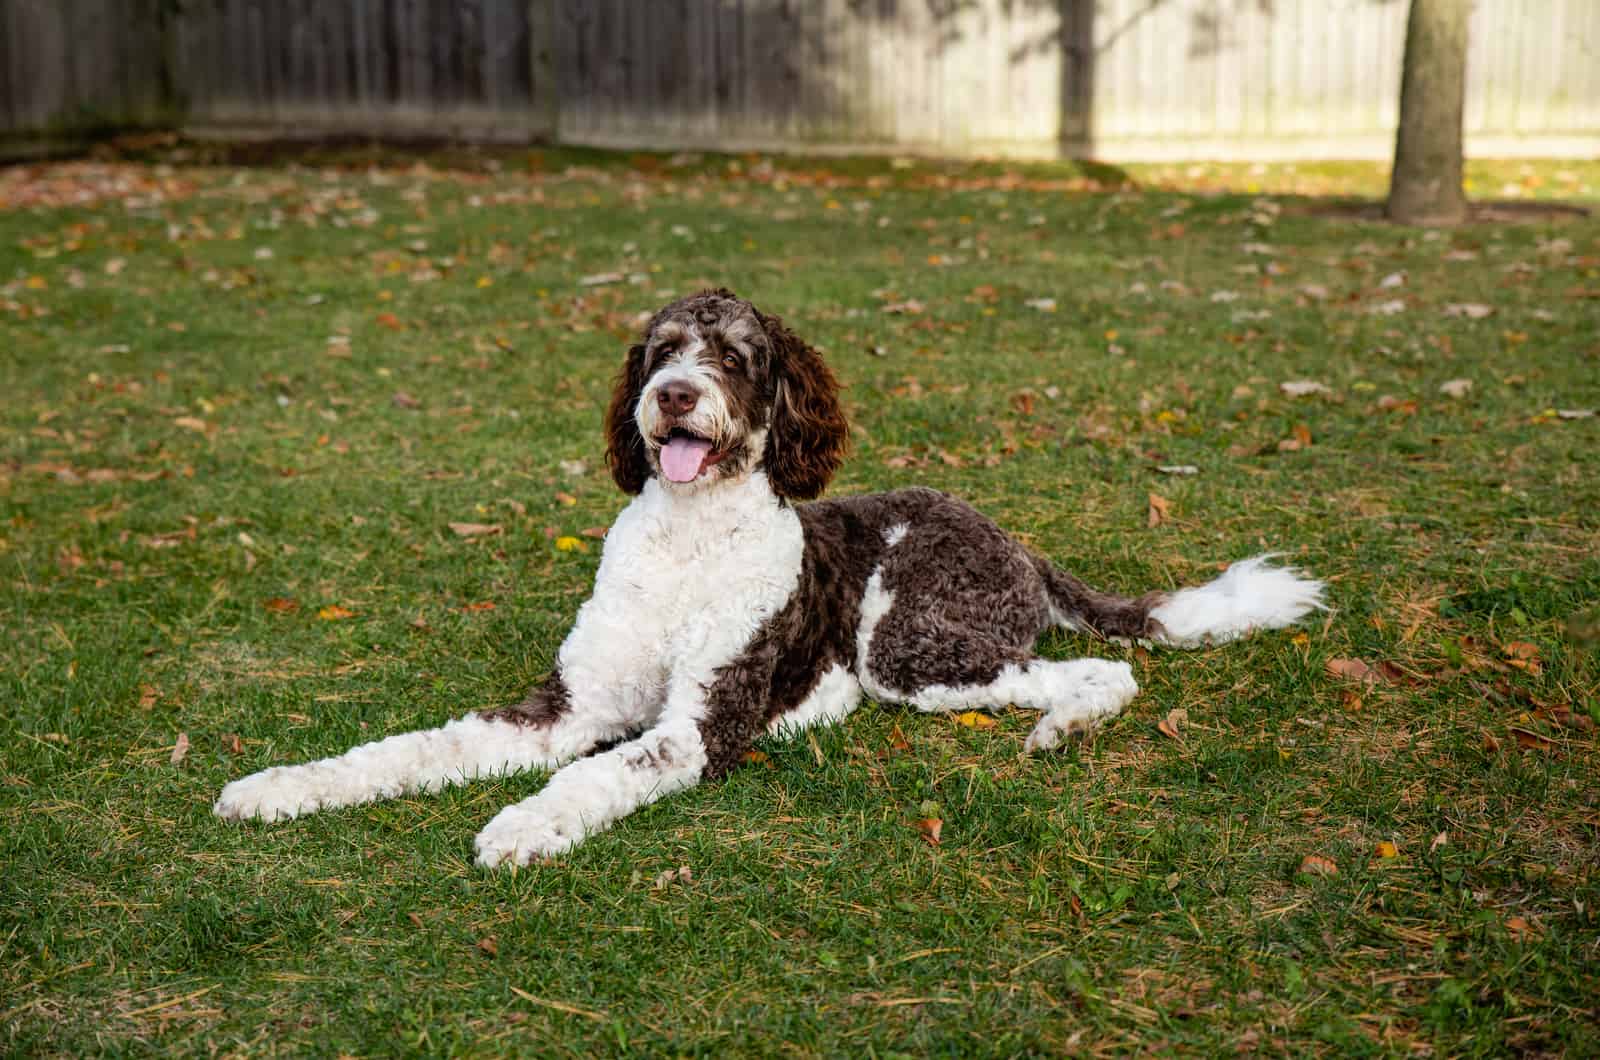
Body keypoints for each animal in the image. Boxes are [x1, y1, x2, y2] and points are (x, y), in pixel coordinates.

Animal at [212, 286, 1324, 871]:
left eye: (739, 357)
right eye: (661, 349)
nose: (671, 395)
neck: (685, 544)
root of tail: (1008, 536)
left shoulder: (698, 725)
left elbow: (593, 775)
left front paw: (523, 823)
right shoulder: (566, 706)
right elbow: (412, 748)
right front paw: (283, 786)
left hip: (909, 650)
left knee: (1095, 673)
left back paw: (1061, 726)